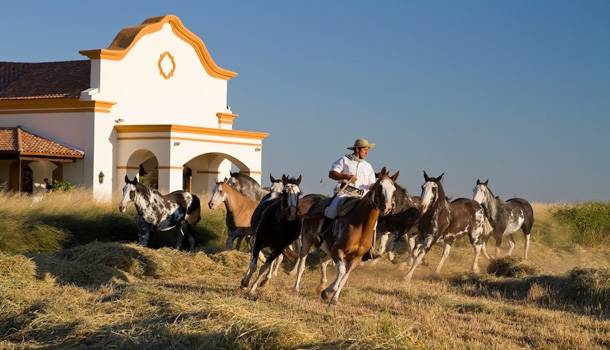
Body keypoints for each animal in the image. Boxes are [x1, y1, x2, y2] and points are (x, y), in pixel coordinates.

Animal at [318, 167, 400, 304]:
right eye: (380, 186)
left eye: (394, 189)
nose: (388, 208)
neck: (360, 226)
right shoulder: (338, 250)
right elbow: (341, 272)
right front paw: (329, 291)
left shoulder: (355, 259)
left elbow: (344, 277)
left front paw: (333, 297)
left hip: (331, 252)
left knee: (323, 262)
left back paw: (322, 286)